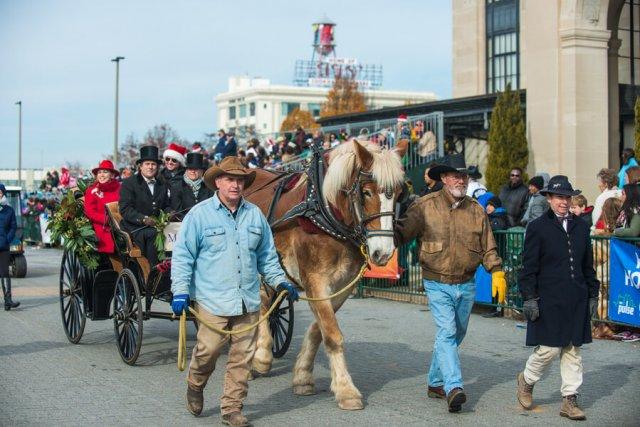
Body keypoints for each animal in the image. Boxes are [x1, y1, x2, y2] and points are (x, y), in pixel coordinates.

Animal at [242, 139, 408, 410]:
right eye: (366, 192)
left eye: (398, 193)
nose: (383, 253)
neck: (324, 213)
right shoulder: (315, 280)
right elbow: (332, 335)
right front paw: (346, 389)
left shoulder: (343, 285)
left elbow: (319, 330)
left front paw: (302, 376)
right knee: (261, 306)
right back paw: (260, 357)